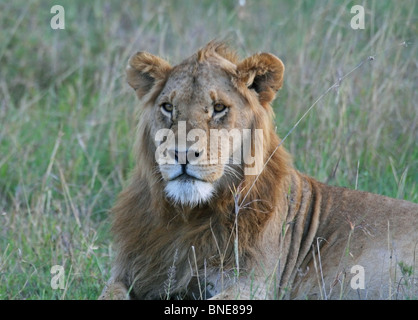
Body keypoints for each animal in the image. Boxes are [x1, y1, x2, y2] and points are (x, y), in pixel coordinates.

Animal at [100, 40, 418, 300]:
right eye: (167, 107)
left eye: (219, 108)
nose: (181, 154)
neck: (186, 218)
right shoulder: (128, 272)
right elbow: (109, 293)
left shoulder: (252, 283)